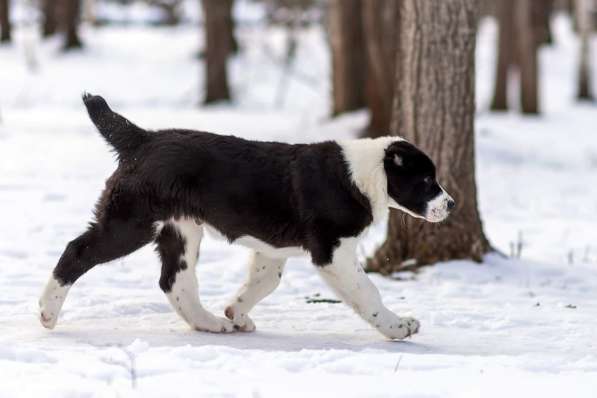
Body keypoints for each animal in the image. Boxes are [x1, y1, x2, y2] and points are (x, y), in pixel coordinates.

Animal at [39, 93, 454, 338]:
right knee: (76, 251)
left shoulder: (272, 249)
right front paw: (398, 327)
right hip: (132, 222)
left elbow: (264, 281)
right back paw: (47, 313)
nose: (451, 204)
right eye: (426, 180)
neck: (364, 175)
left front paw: (236, 313)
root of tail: (143, 140)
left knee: (175, 281)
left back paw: (210, 322)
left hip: (181, 229)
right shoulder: (333, 251)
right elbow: (366, 291)